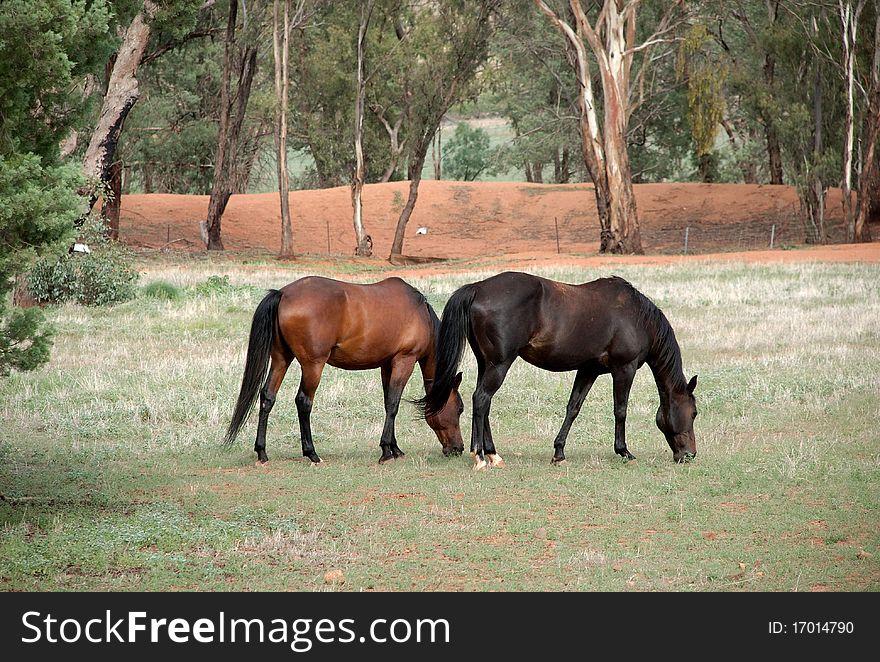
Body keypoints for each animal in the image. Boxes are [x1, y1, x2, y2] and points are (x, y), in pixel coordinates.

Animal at [223, 278, 464, 464]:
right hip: (313, 365)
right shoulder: (404, 360)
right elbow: (394, 405)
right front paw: (386, 451)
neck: (420, 313)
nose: (458, 448)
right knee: (303, 401)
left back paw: (262, 452)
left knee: (267, 398)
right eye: (460, 408)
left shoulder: (387, 365)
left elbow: (388, 403)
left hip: (282, 359)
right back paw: (312, 453)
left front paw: (394, 448)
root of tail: (283, 294)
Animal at [416, 274, 696, 472]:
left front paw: (559, 453)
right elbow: (620, 410)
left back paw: (493, 454)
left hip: (487, 364)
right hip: (499, 364)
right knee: (482, 399)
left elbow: (573, 407)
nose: (689, 455)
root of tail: (478, 287)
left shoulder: (588, 369)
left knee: (482, 401)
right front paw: (624, 451)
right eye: (694, 413)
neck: (636, 317)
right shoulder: (623, 368)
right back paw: (482, 457)